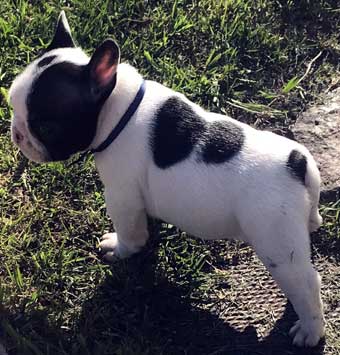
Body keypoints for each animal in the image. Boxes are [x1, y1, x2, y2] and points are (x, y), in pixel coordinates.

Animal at [9, 11, 326, 348]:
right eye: (13, 105)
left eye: (45, 126)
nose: (17, 134)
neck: (118, 109)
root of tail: (295, 162)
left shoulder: (121, 196)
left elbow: (131, 233)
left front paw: (120, 249)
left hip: (276, 244)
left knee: (307, 282)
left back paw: (309, 330)